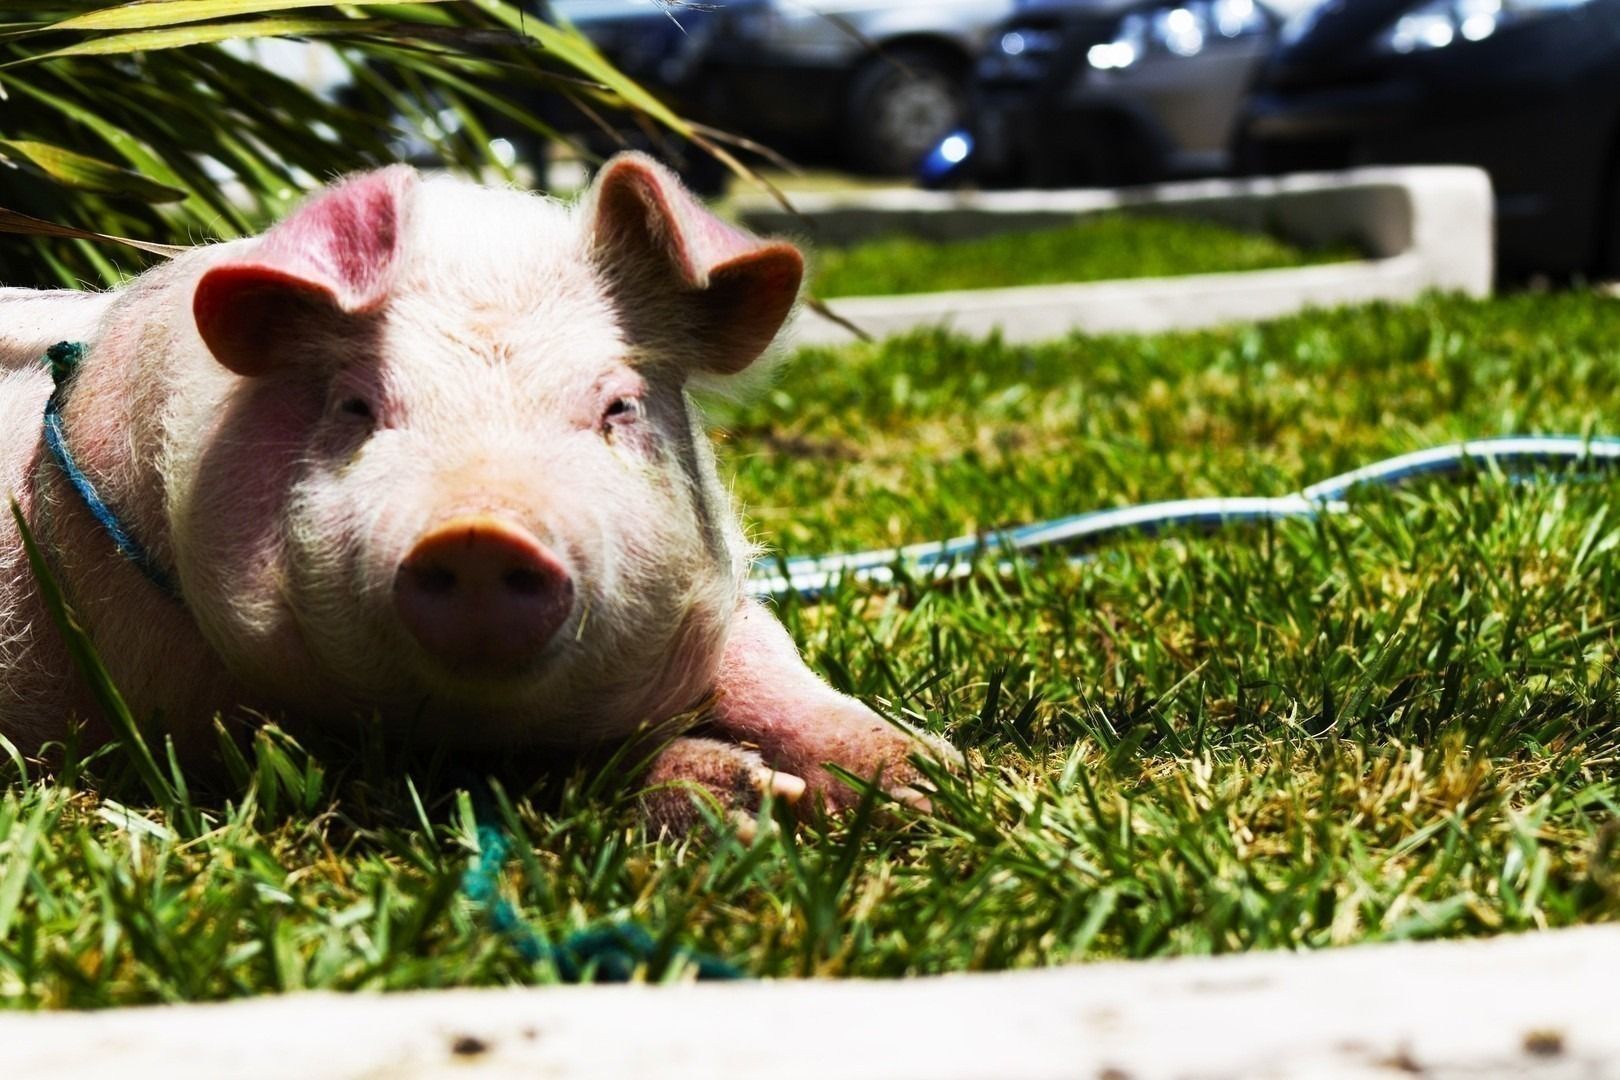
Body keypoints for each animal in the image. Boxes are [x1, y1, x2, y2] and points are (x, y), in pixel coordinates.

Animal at [0, 153, 953, 834]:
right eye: (356, 406)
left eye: (618, 406)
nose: (480, 533)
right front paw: (752, 801)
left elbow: (768, 656)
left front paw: (934, 779)